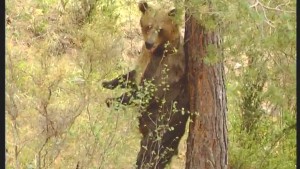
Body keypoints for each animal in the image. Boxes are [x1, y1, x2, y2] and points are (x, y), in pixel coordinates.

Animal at [102, 1, 189, 168]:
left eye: (160, 29)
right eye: (148, 25)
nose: (149, 43)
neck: (158, 51)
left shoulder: (165, 70)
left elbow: (144, 92)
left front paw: (111, 100)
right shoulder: (143, 60)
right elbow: (130, 76)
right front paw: (107, 83)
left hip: (161, 130)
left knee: (149, 155)